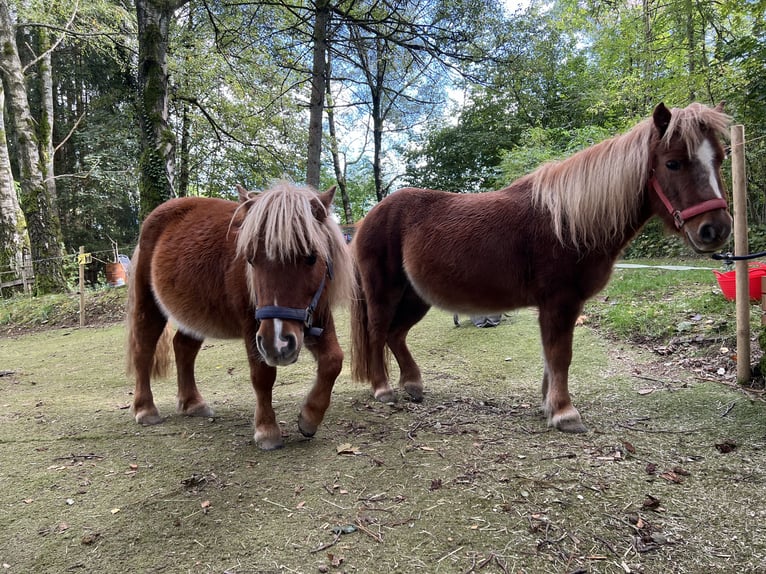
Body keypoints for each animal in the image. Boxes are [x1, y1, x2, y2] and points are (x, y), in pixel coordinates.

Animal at [125, 182, 354, 452]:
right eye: (251, 259)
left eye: (311, 257)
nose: (278, 343)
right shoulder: (254, 328)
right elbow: (262, 376)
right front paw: (267, 430)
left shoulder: (317, 316)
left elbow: (333, 361)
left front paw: (309, 417)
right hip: (149, 305)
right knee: (143, 349)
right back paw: (145, 409)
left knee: (183, 348)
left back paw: (192, 403)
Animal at [352, 102, 736, 432]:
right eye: (673, 163)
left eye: (719, 158)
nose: (715, 230)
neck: (568, 222)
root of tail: (368, 218)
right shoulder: (560, 301)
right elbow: (560, 354)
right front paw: (565, 413)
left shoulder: (557, 305)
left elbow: (551, 357)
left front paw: (549, 403)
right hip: (384, 292)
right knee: (377, 332)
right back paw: (384, 390)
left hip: (416, 297)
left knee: (396, 335)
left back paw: (413, 385)